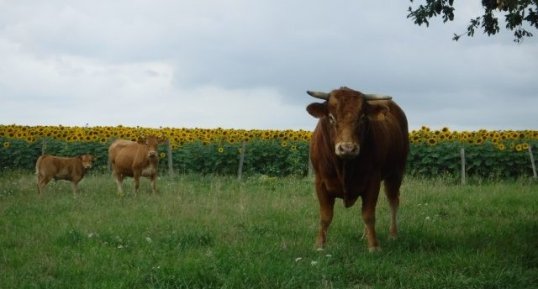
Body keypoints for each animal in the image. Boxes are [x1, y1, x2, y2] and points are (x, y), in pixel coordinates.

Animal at [306, 85, 406, 250]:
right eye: (331, 117)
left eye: (363, 118)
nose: (347, 148)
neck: (344, 167)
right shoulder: (320, 181)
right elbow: (325, 216)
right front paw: (320, 244)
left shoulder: (373, 181)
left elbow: (368, 214)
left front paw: (373, 245)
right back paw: (365, 235)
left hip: (396, 173)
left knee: (393, 201)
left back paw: (393, 234)